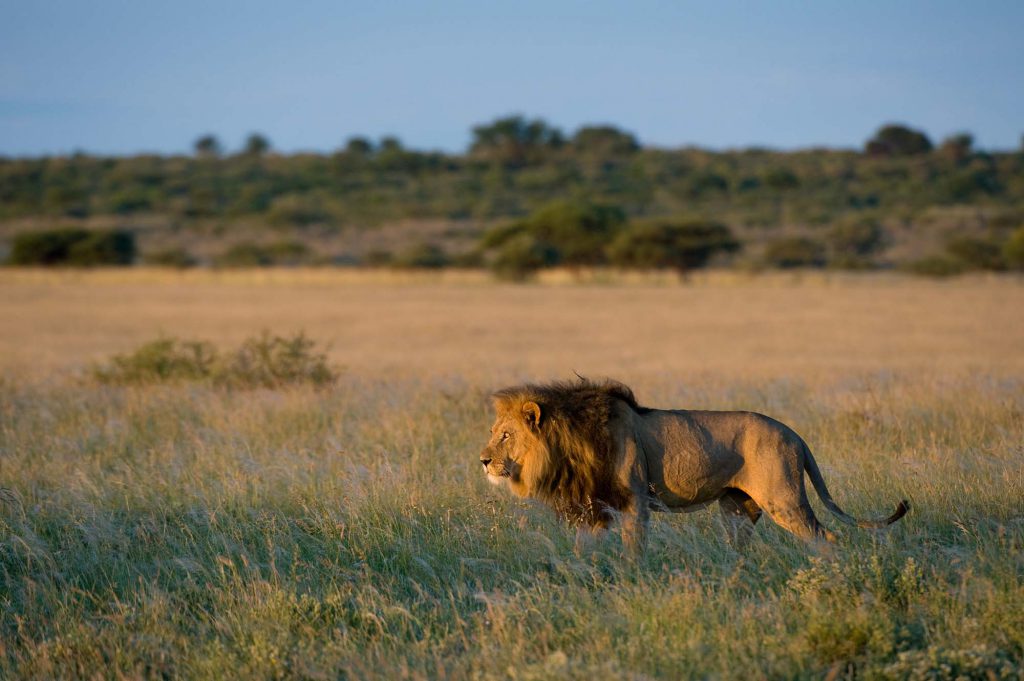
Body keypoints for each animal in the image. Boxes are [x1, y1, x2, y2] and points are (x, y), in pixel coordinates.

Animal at [479, 378, 908, 552]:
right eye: (494, 432)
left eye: (506, 436)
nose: (483, 461)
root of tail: (795, 434)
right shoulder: (590, 507)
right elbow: (583, 551)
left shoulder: (634, 501)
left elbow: (634, 550)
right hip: (736, 508)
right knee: (739, 547)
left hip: (784, 500)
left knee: (826, 539)